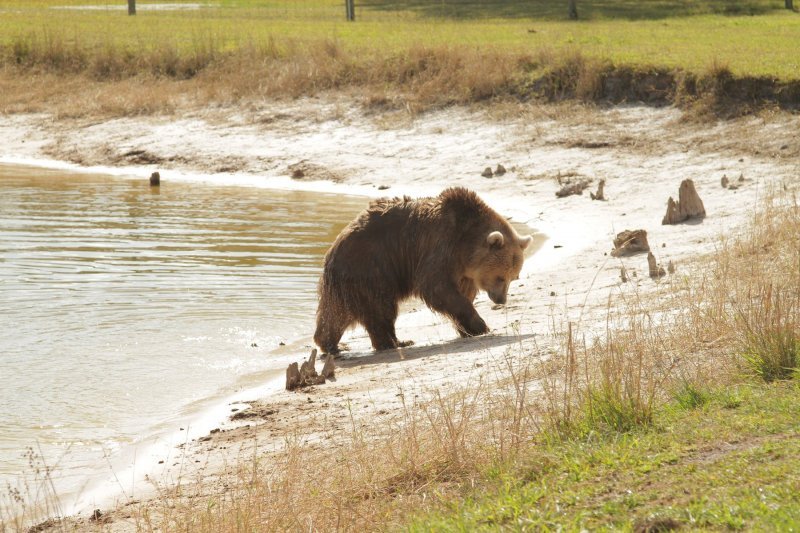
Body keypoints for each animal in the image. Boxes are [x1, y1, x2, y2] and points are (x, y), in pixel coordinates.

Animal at [312, 185, 532, 356]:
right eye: (500, 277)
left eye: (514, 277)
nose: (501, 299)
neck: (465, 244)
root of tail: (333, 249)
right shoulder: (439, 245)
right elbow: (436, 287)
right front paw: (480, 325)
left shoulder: (462, 269)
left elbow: (462, 292)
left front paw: (468, 328)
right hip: (371, 267)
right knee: (380, 308)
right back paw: (392, 342)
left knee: (336, 313)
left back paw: (329, 343)